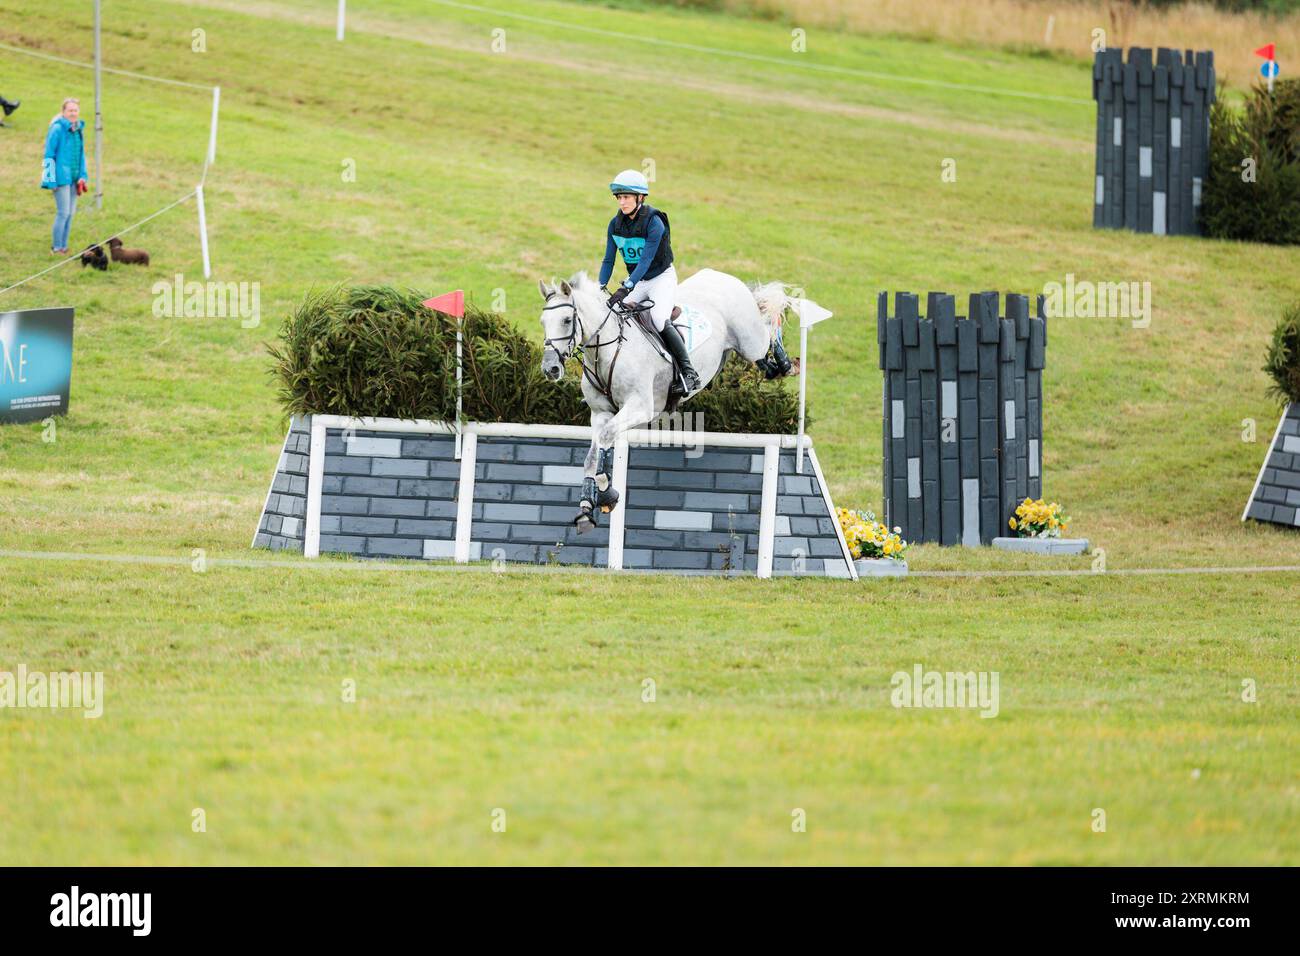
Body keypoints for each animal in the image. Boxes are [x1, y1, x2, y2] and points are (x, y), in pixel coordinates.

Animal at [533, 267, 806, 530]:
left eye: (567, 320)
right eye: (542, 322)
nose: (550, 369)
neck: (608, 351)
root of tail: (726, 277)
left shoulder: (640, 408)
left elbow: (607, 437)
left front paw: (607, 492)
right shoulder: (600, 413)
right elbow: (594, 454)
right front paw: (588, 508)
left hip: (750, 342)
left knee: (768, 327)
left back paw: (787, 363)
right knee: (763, 354)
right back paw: (774, 367)